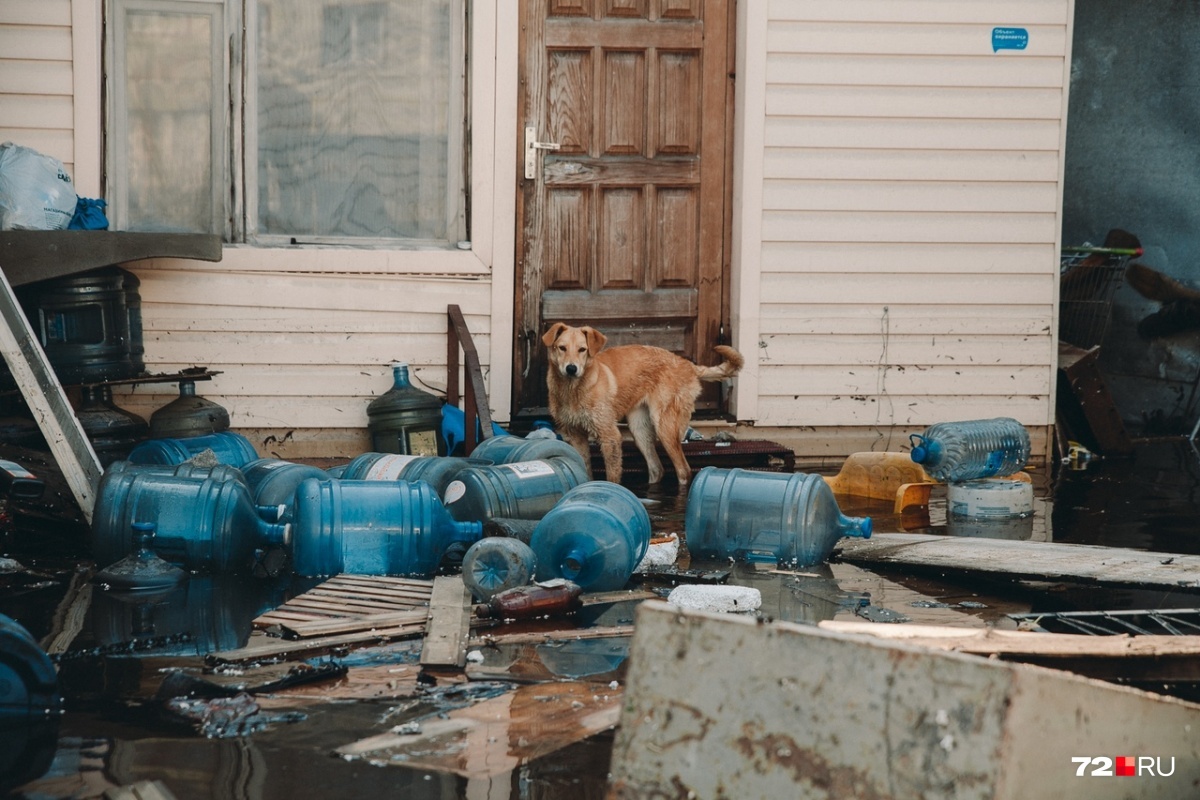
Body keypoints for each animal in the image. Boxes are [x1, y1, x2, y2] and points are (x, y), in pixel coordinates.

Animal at [542, 321, 739, 484]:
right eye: (562, 348)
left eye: (582, 349)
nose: (571, 368)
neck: (573, 389)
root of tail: (688, 365)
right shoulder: (576, 435)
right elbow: (585, 471)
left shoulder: (610, 436)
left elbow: (612, 476)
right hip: (640, 429)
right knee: (657, 469)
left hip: (666, 427)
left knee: (683, 470)